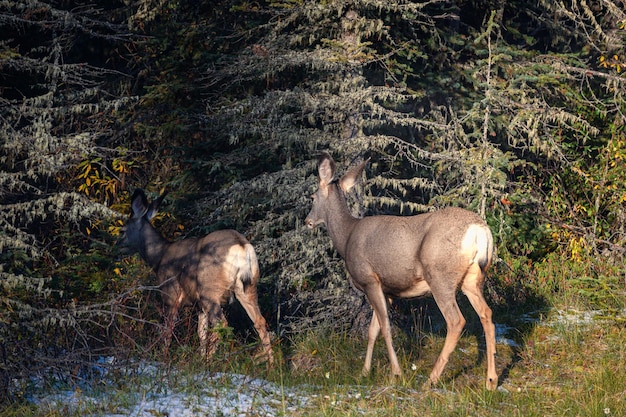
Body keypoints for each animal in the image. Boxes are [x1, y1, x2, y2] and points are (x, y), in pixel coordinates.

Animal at [117, 188, 272, 364]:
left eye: (122, 231)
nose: (115, 247)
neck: (158, 258)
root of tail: (241, 246)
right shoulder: (198, 305)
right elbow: (201, 333)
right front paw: (200, 355)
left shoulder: (170, 294)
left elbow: (167, 330)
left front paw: (163, 358)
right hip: (248, 287)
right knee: (259, 321)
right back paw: (271, 364)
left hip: (210, 290)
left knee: (222, 324)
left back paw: (210, 362)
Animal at [304, 153, 498, 390]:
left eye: (312, 197)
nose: (307, 221)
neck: (346, 237)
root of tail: (480, 230)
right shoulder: (387, 290)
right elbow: (373, 330)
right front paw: (364, 372)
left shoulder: (370, 280)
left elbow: (385, 327)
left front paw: (396, 373)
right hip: (472, 278)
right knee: (486, 313)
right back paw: (491, 381)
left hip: (439, 276)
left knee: (456, 321)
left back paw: (431, 379)